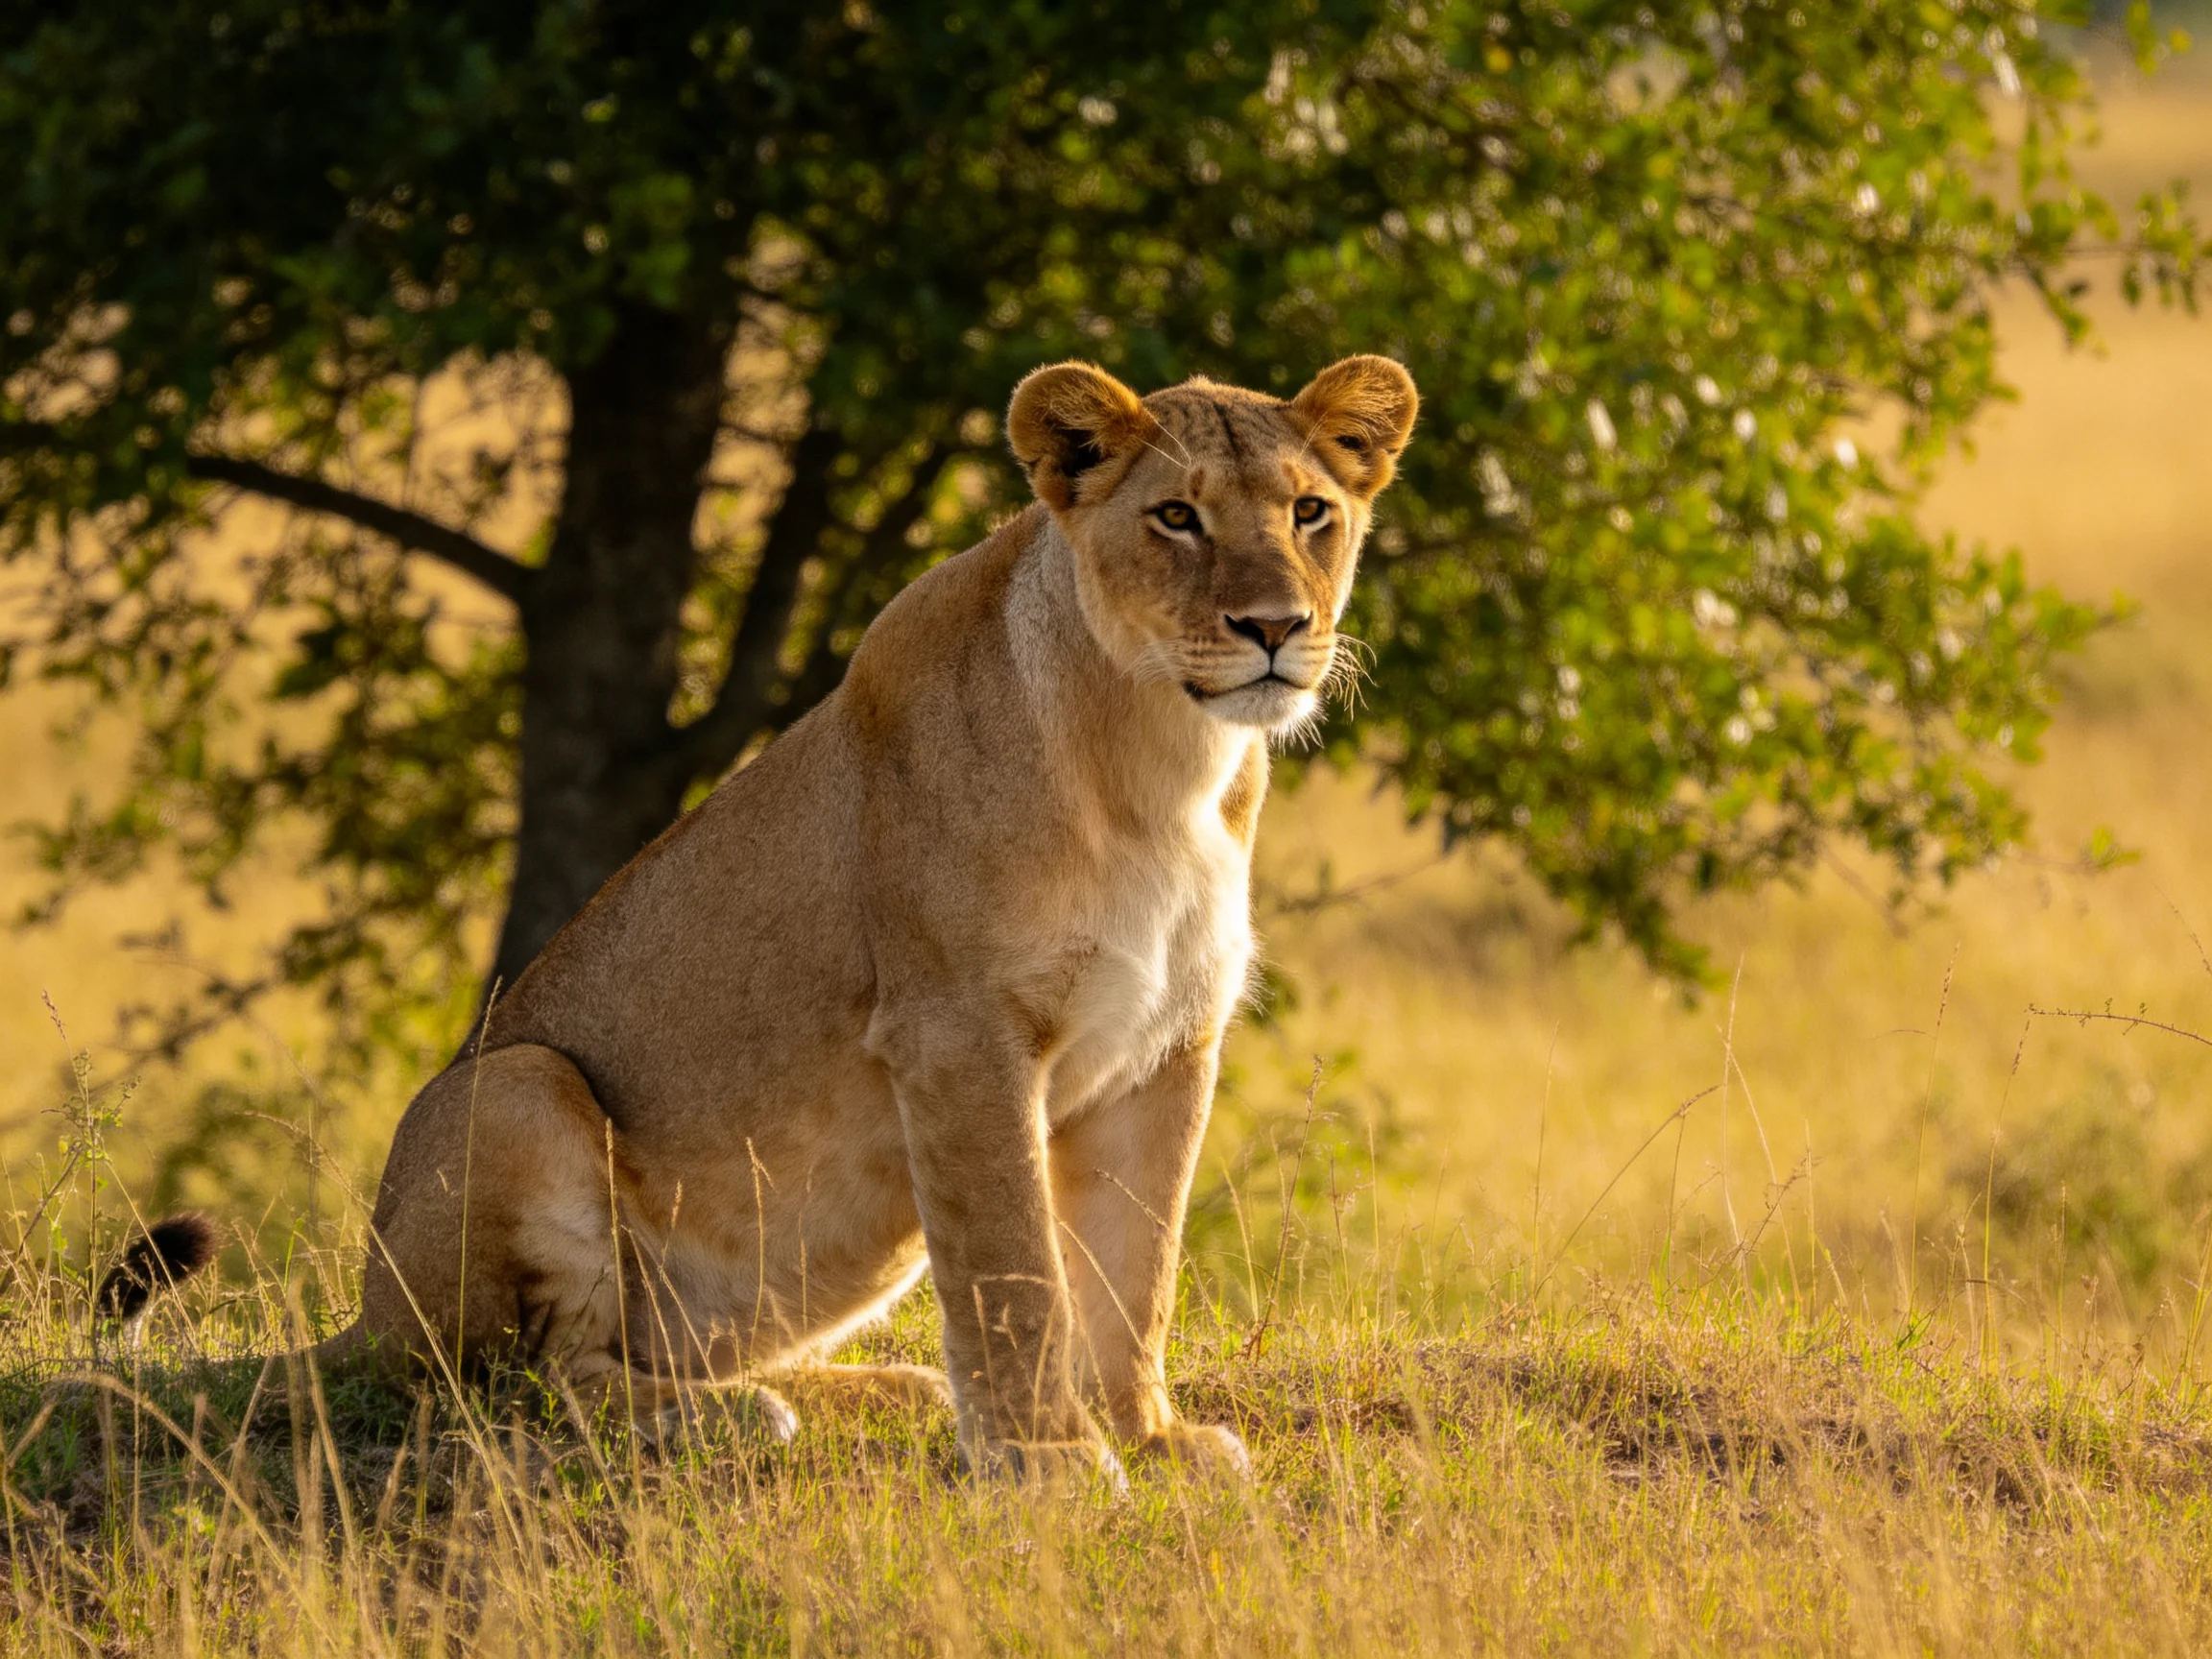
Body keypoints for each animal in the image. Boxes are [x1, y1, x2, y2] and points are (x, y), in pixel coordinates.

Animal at [112, 353, 1418, 1480]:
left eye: (1309, 511)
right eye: (1177, 518)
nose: (1273, 628)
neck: (1166, 760)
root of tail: (366, 1308)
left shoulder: (1167, 1048)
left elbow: (1137, 1269)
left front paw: (1147, 1440)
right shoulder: (958, 1034)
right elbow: (1015, 1267)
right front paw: (1046, 1461)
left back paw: (884, 1391)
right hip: (520, 1087)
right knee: (521, 1384)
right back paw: (733, 1420)